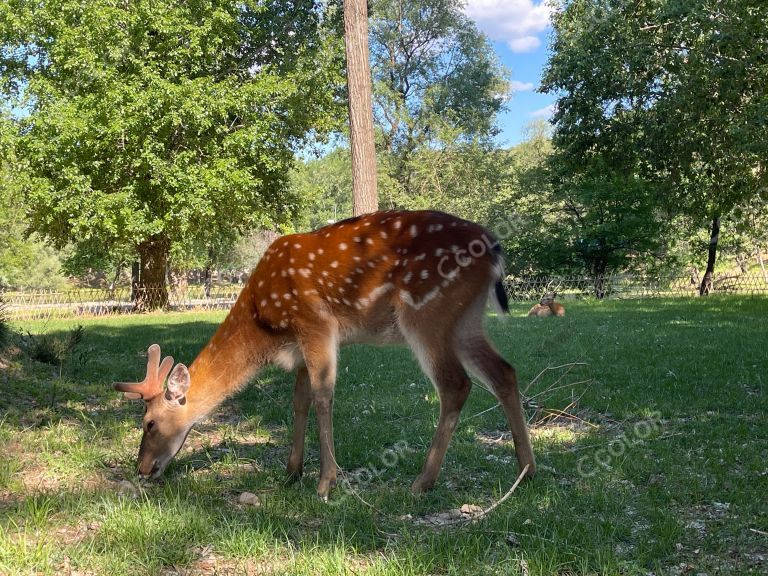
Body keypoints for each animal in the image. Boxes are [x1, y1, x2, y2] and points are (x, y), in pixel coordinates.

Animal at [115, 212, 536, 500]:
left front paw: (325, 482)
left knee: (456, 384)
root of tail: (494, 248)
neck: (264, 323)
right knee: (505, 371)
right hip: (466, 320)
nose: (142, 468)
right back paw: (527, 470)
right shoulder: (300, 345)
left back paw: (423, 481)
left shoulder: (315, 322)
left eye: (149, 423)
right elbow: (299, 400)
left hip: (428, 313)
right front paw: (291, 472)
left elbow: (323, 395)